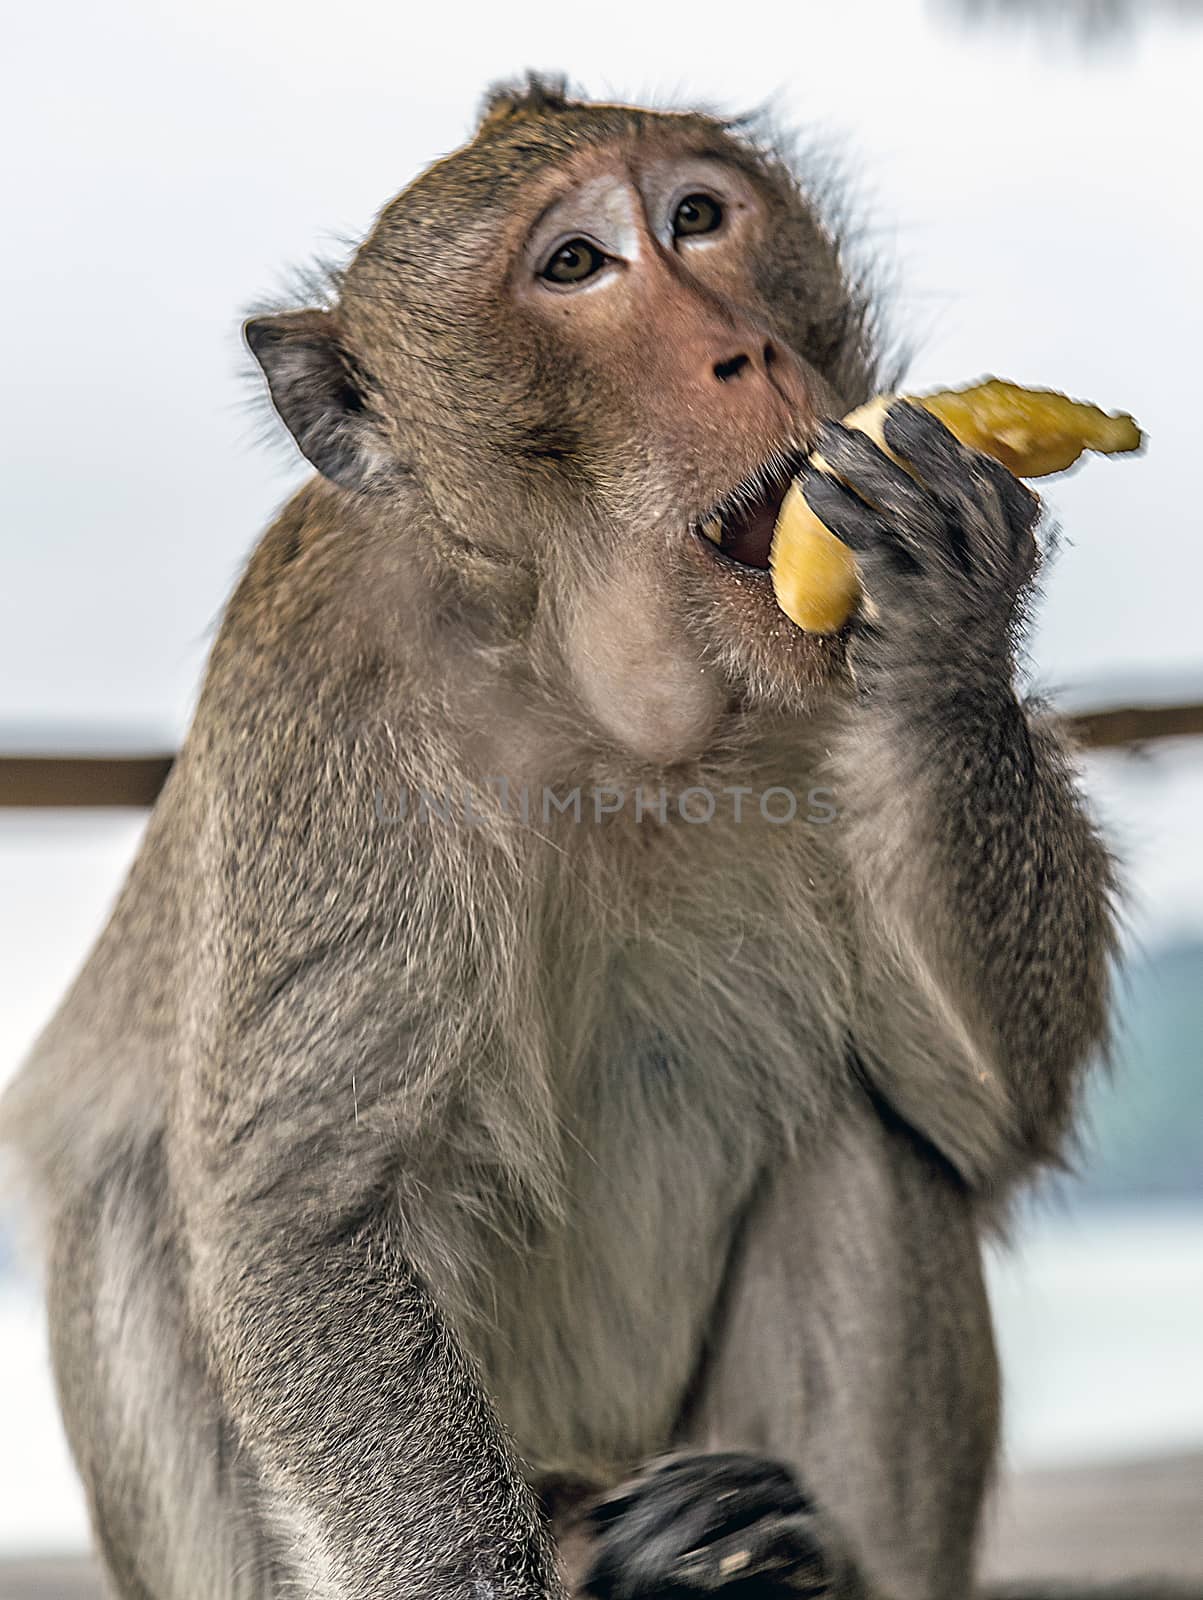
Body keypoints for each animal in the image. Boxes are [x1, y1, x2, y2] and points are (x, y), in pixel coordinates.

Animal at [2, 75, 1119, 1600]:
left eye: (698, 216)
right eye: (576, 266)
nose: (744, 350)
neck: (606, 702)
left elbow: (980, 1113)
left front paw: (945, 635)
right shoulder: (329, 703)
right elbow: (305, 1217)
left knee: (863, 1138)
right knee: (128, 1196)